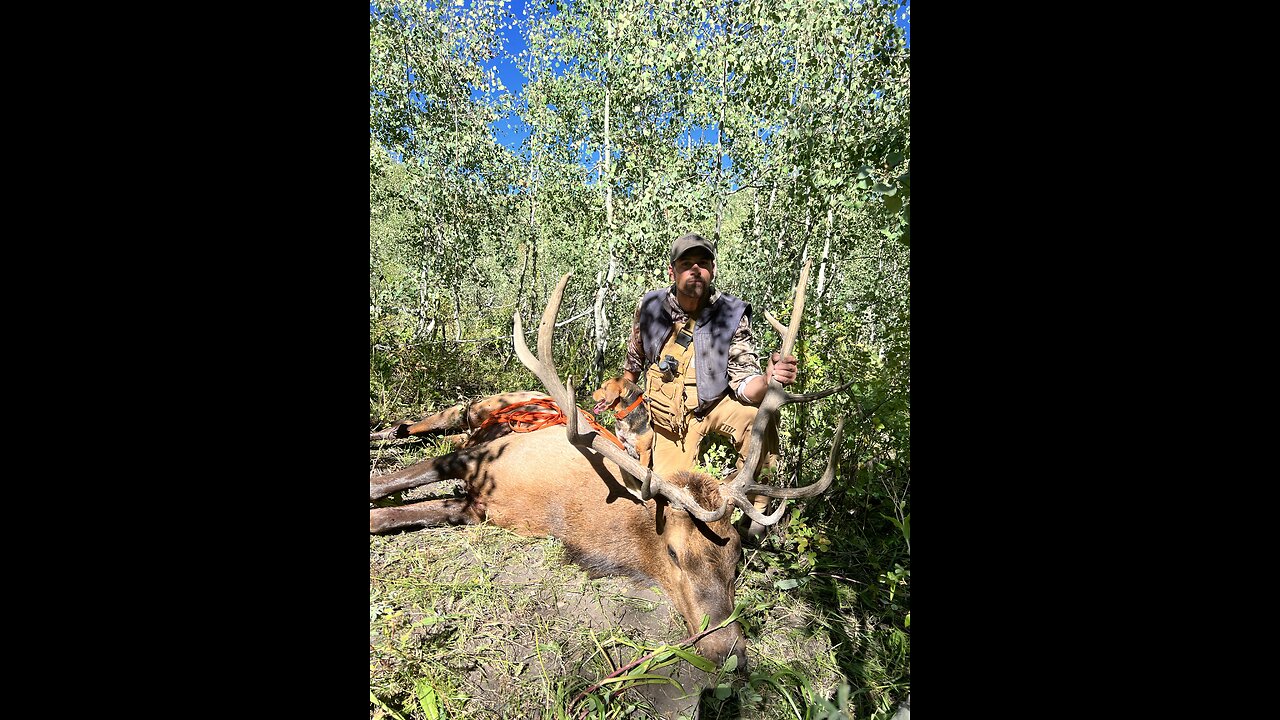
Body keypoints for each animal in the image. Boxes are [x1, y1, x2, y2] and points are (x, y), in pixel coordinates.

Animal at [371, 258, 849, 666]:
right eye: (674, 553)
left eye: (735, 556)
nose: (729, 651)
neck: (560, 511)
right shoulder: (477, 458)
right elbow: (384, 485)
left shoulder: (474, 507)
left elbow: (391, 516)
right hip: (471, 411)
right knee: (417, 424)